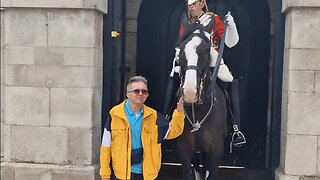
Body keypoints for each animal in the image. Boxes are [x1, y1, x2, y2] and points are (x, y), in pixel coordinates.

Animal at [176, 21, 229, 180]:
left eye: (207, 49)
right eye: (181, 48)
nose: (190, 92)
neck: (199, 112)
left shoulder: (216, 150)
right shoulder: (183, 148)